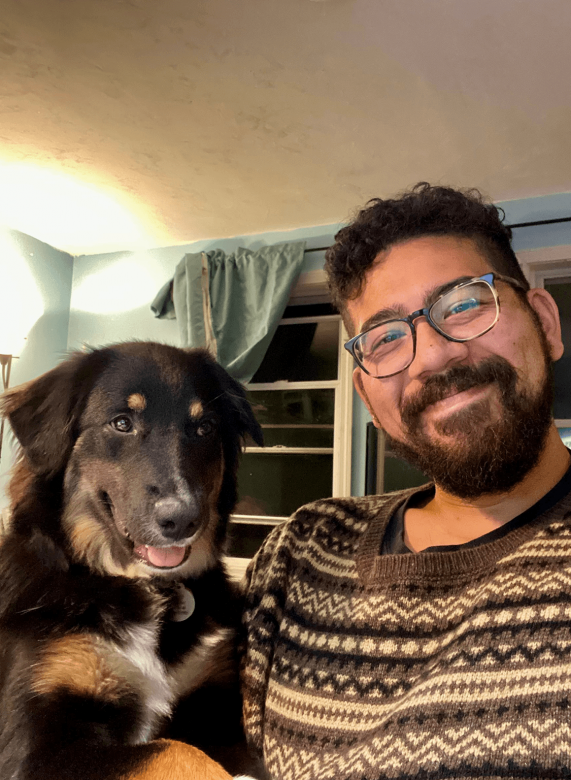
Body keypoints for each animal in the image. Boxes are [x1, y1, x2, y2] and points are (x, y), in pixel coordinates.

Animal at [0, 344, 264, 780]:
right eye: (122, 423)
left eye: (205, 428)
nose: (182, 520)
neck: (137, 584)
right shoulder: (32, 751)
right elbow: (173, 750)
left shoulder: (215, 709)